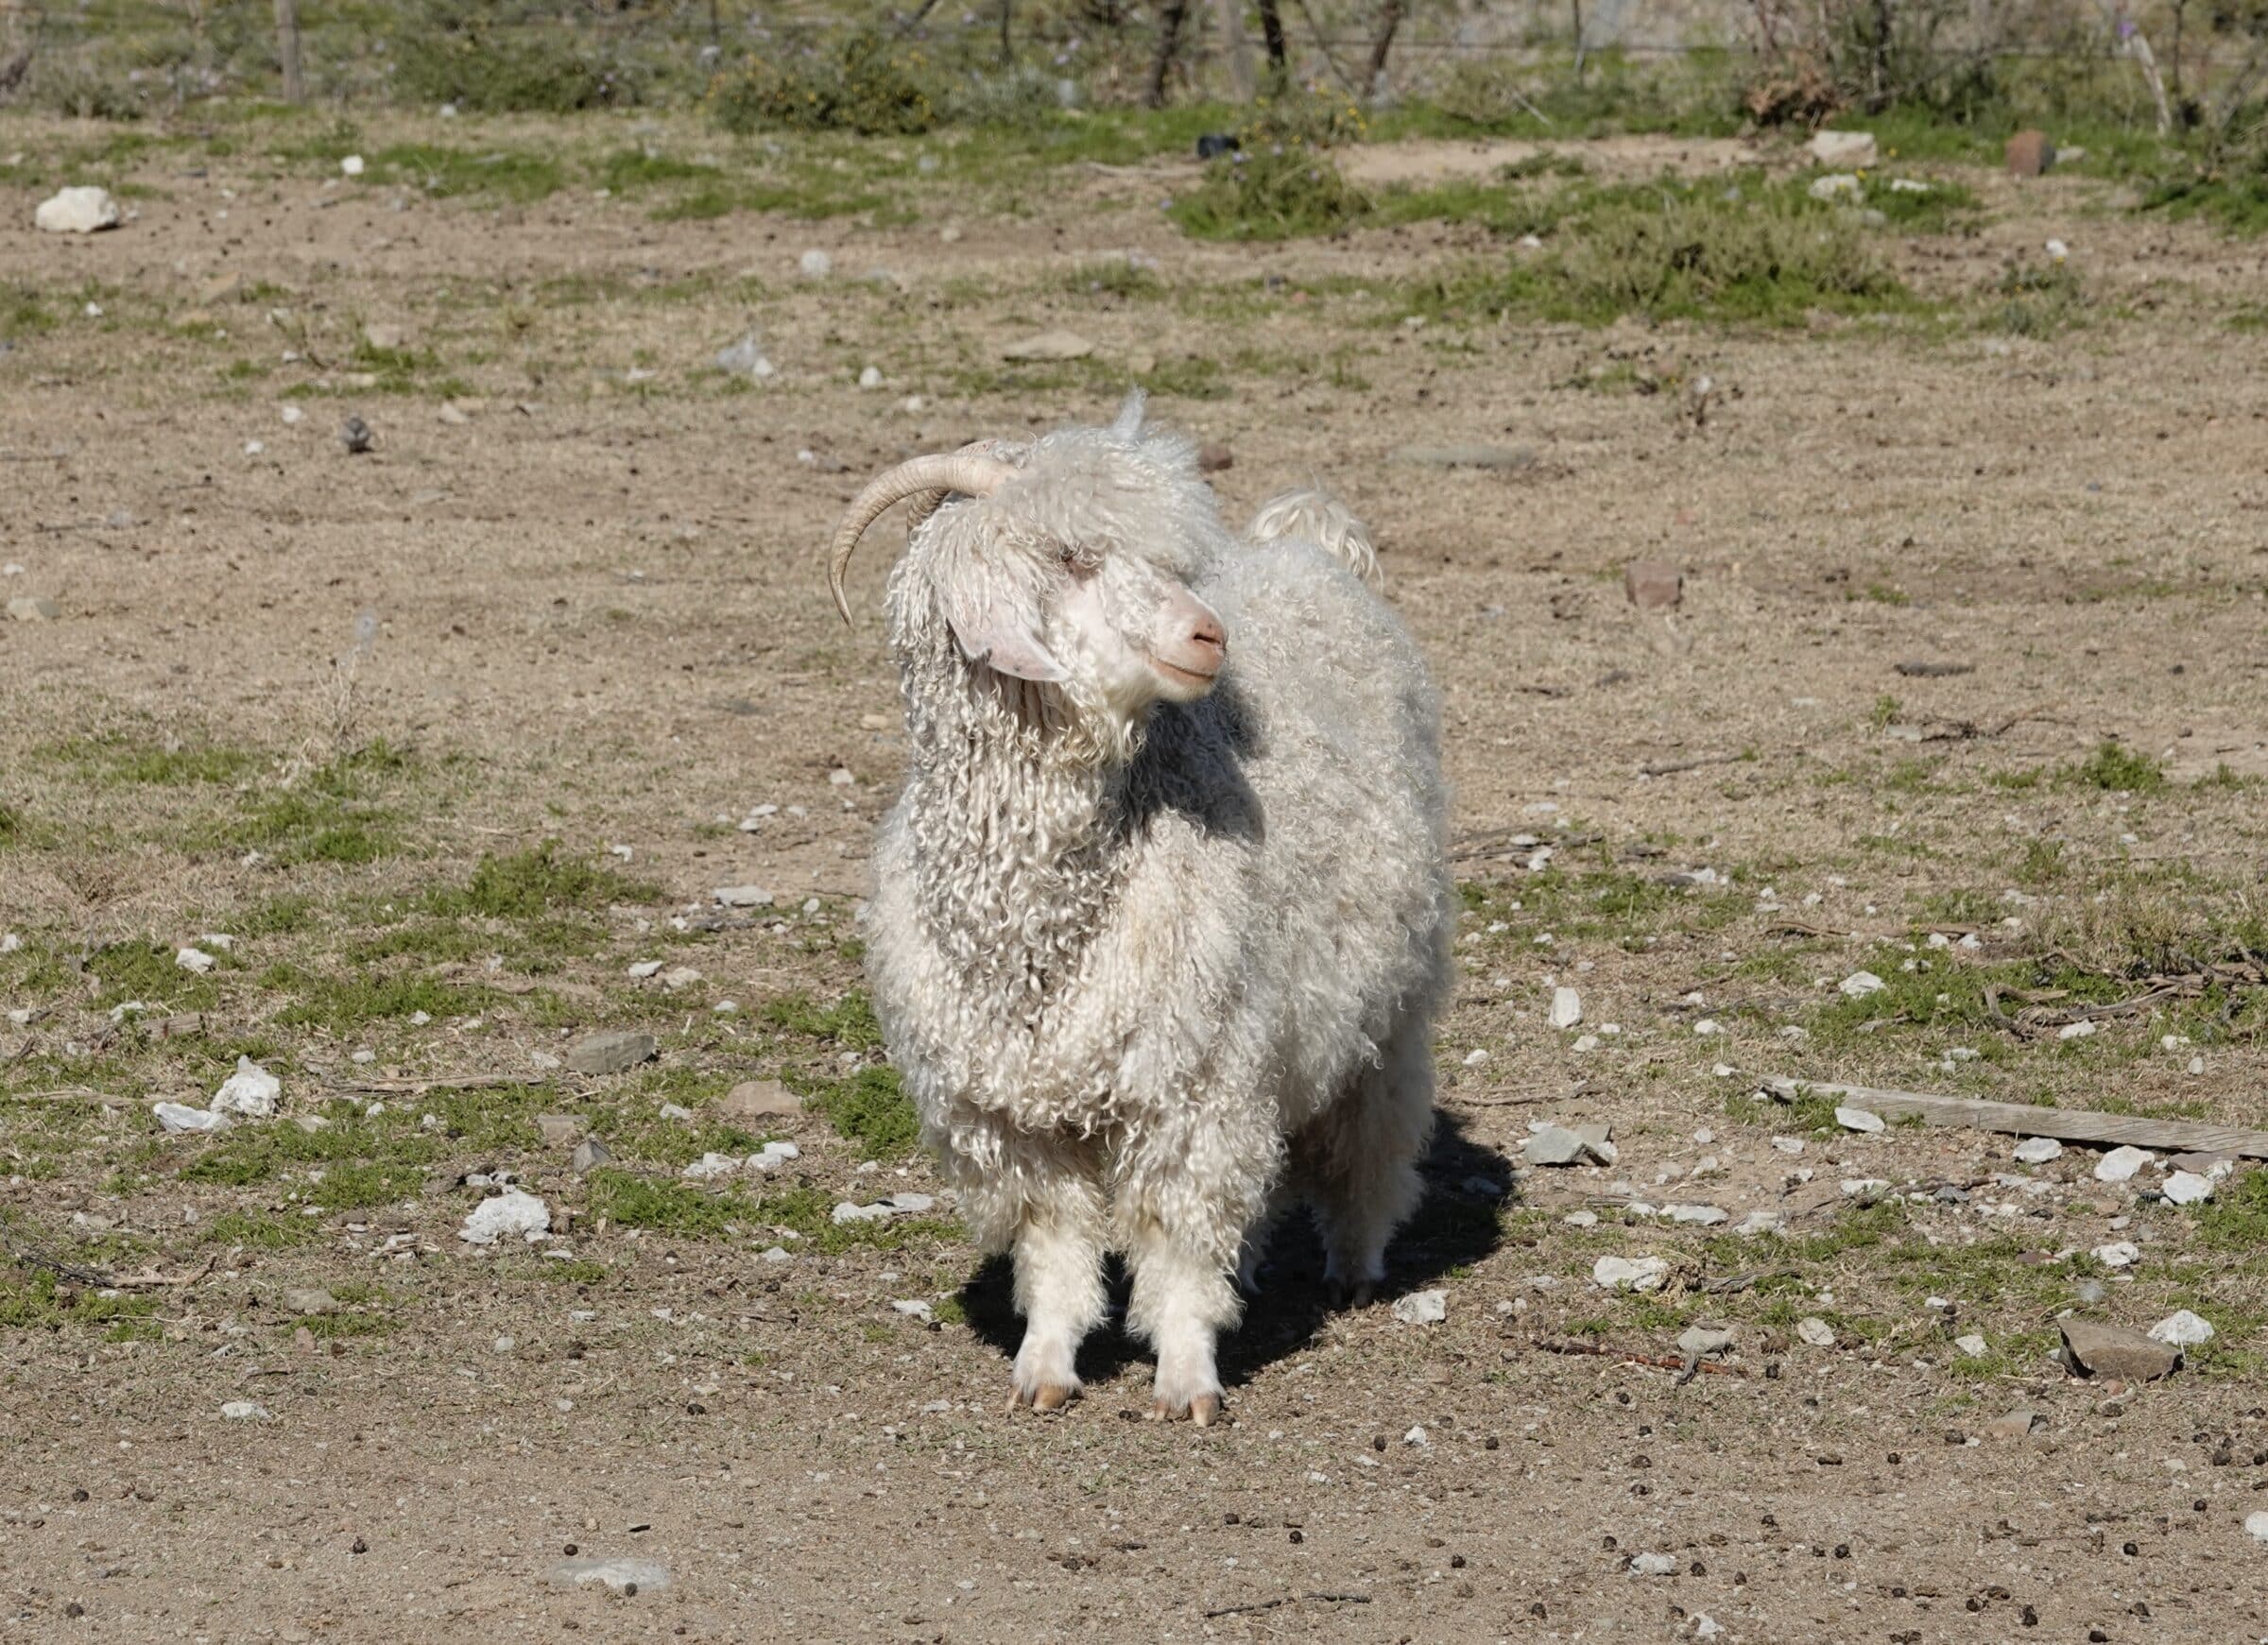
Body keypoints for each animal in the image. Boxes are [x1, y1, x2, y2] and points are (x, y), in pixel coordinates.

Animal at [834, 392, 1452, 1415]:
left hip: (1392, 998)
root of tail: (1310, 549)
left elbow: (1179, 1243)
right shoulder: (1013, 1121)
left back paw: (1356, 1263)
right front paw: (1045, 1367)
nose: (1209, 637)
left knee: (1372, 1133)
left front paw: (1188, 1376)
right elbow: (1055, 1251)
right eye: (1071, 557)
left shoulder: (1194, 1086)